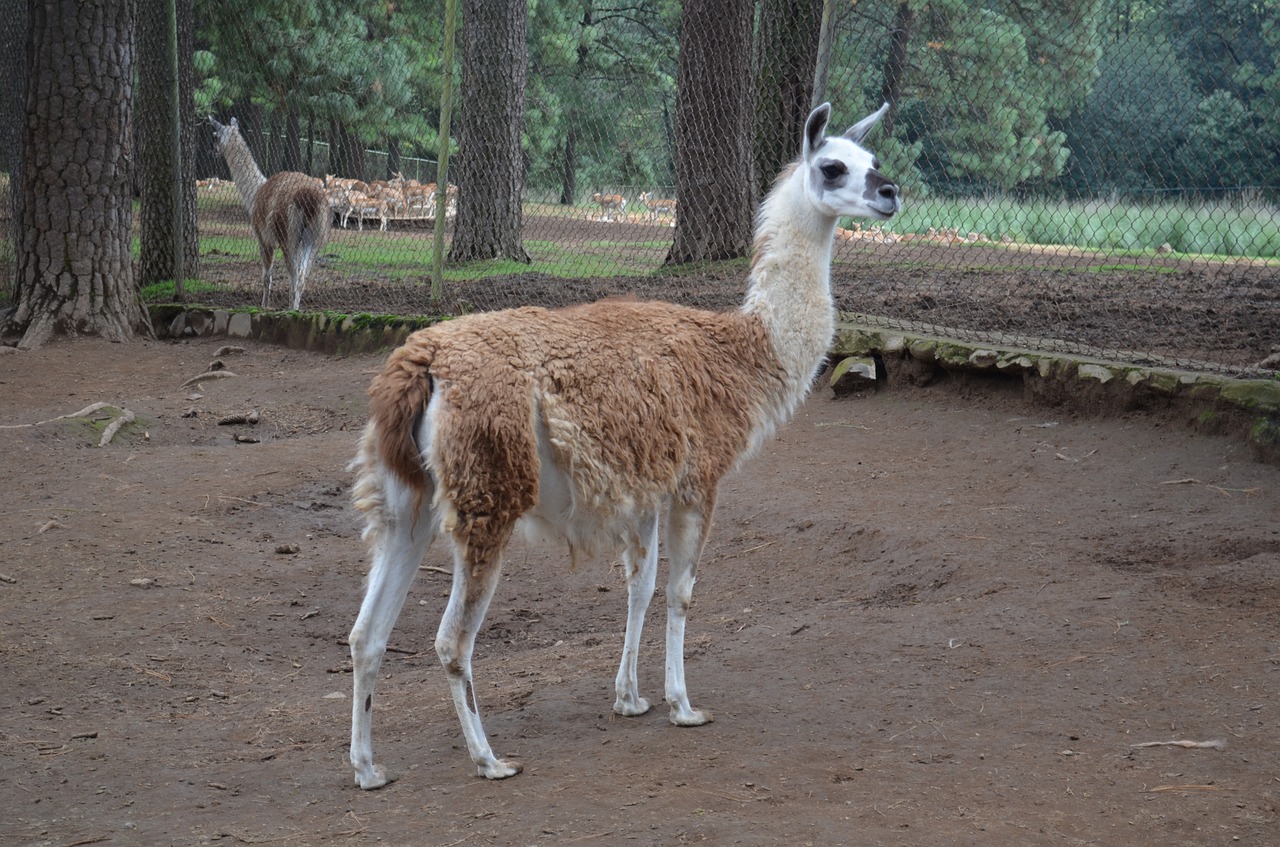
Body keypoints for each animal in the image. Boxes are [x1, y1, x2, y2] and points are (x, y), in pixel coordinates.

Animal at [209, 114, 330, 310]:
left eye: (214, 136)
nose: (211, 152)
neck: (255, 192)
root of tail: (310, 196)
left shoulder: (263, 238)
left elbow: (267, 276)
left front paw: (264, 306)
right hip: (314, 237)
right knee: (302, 276)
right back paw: (295, 309)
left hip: (288, 235)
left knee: (294, 274)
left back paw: (291, 310)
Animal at [345, 101, 896, 788]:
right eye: (833, 166)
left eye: (875, 160)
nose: (891, 194)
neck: (742, 352)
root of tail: (422, 362)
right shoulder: (698, 480)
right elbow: (681, 592)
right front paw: (683, 705)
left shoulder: (646, 487)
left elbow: (641, 586)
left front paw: (629, 697)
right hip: (488, 491)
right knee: (451, 640)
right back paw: (488, 758)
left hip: (406, 498)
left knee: (365, 634)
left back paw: (368, 767)